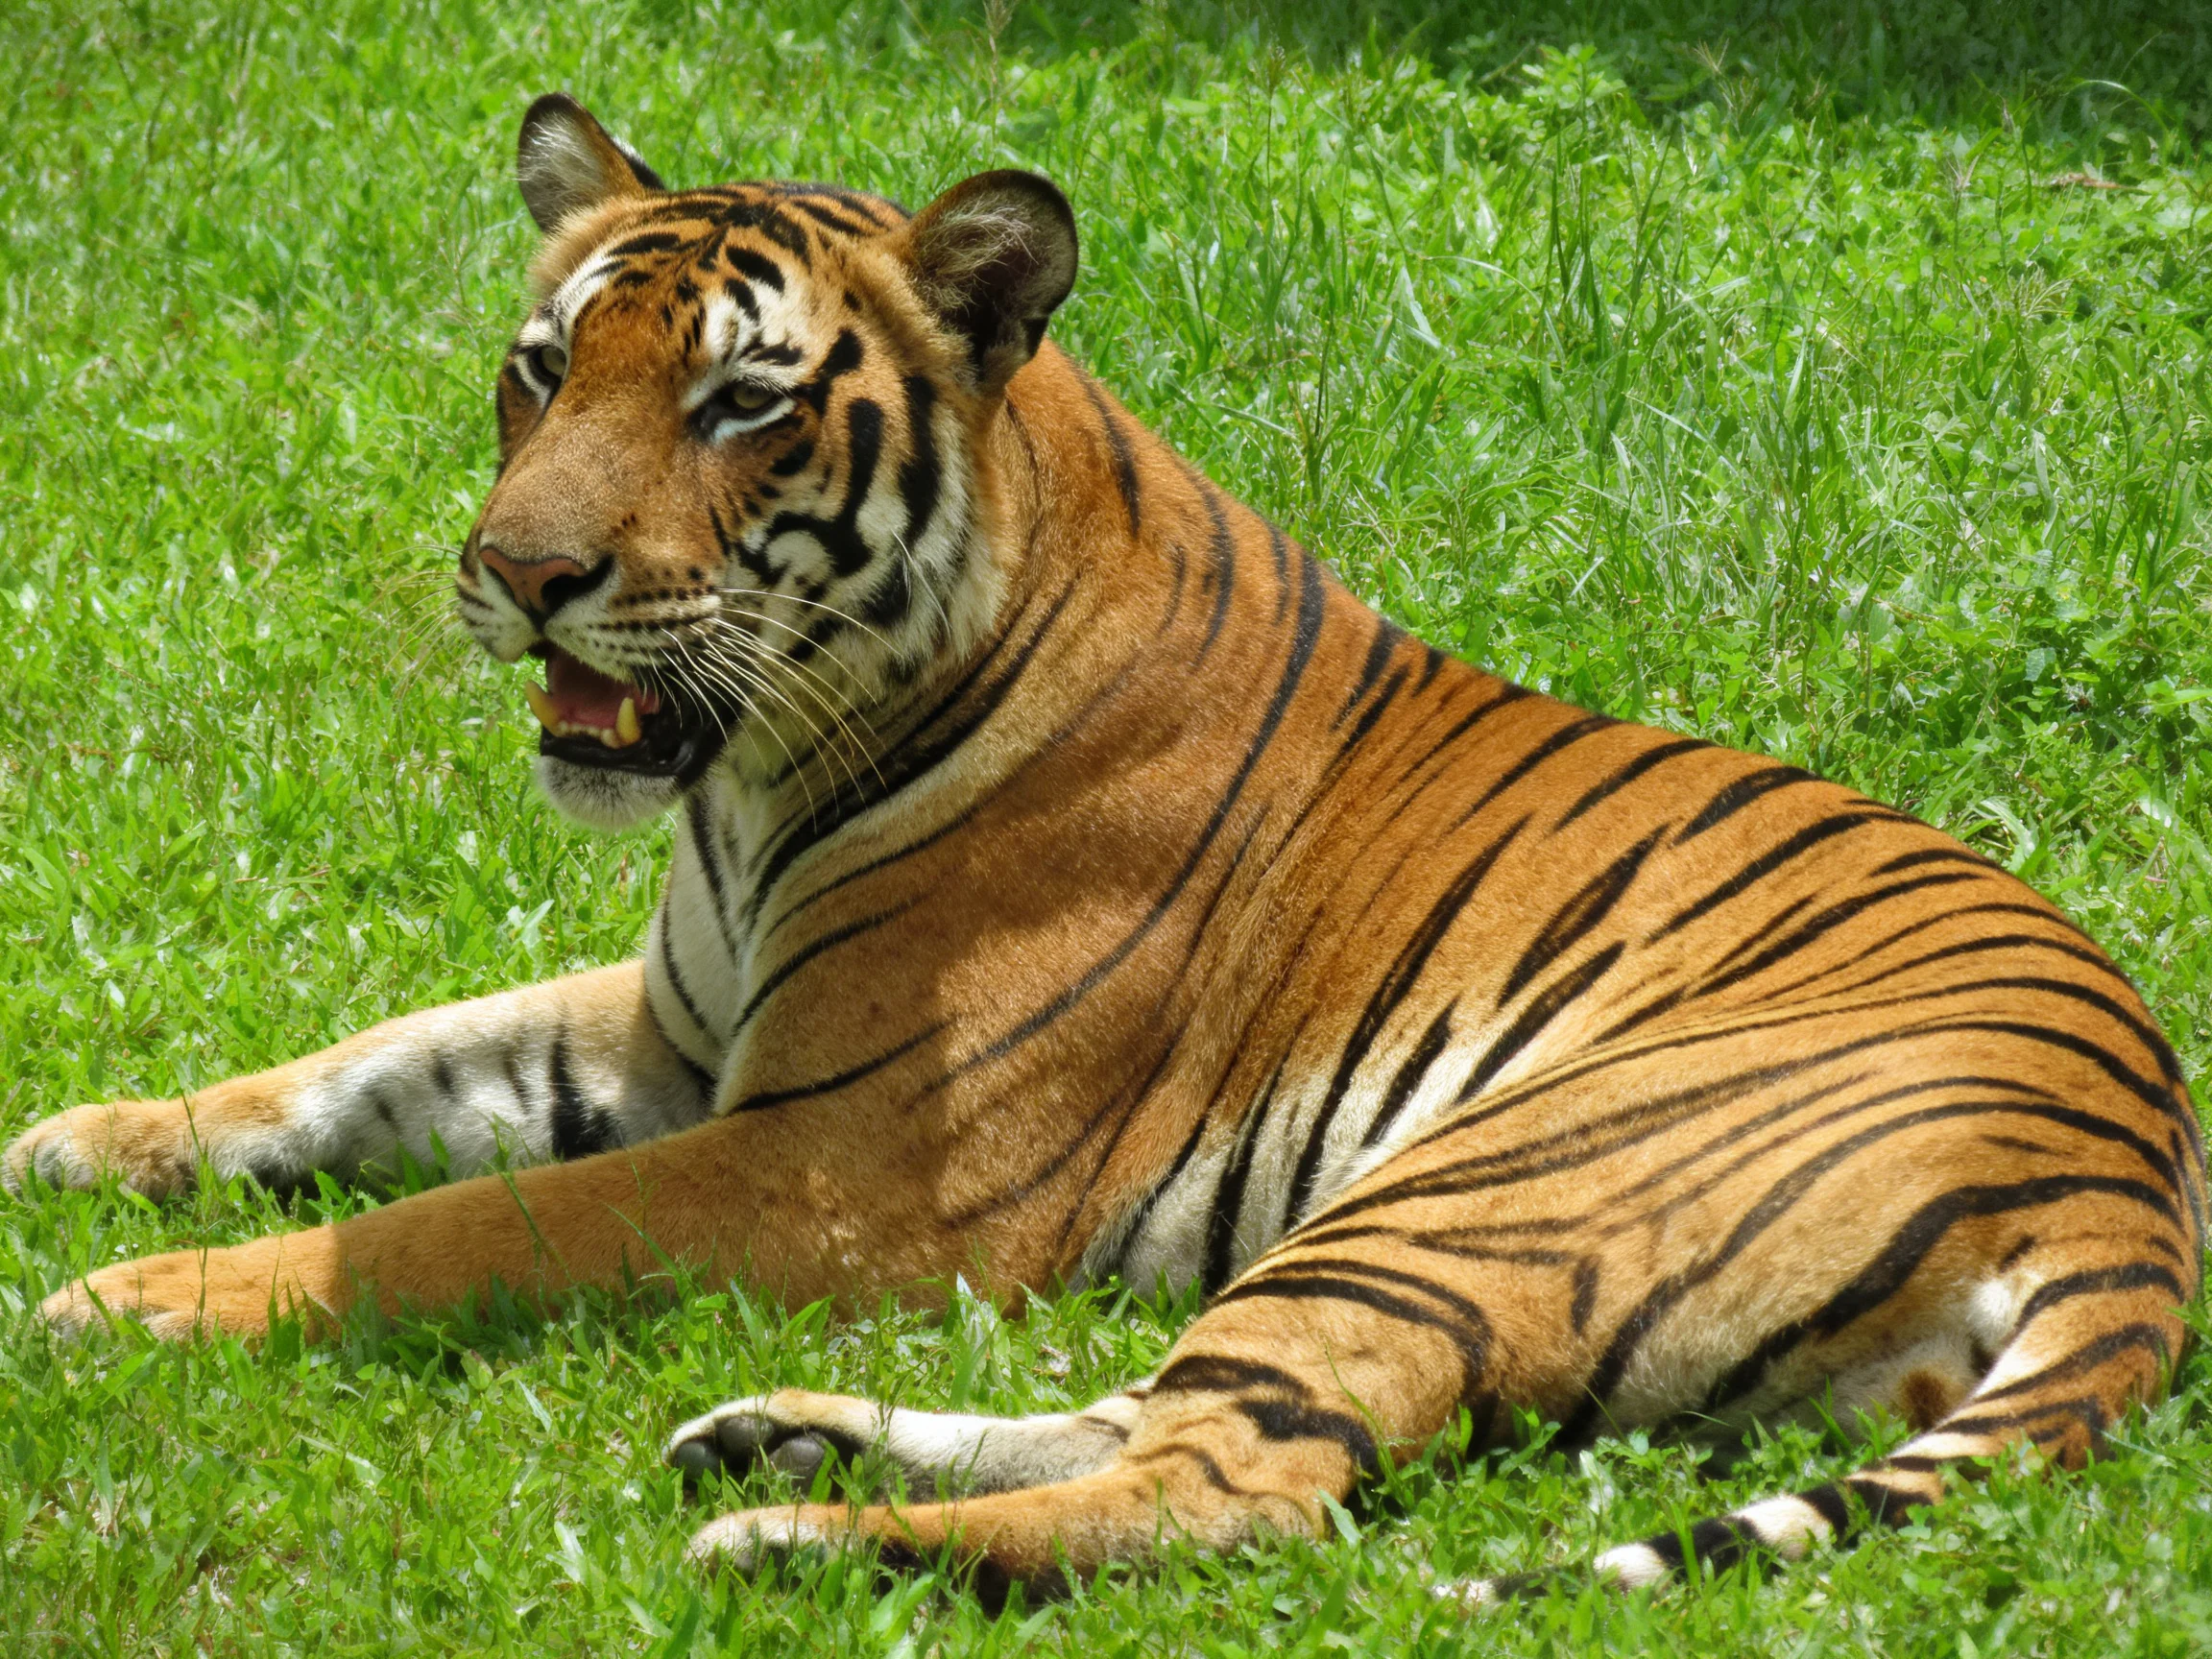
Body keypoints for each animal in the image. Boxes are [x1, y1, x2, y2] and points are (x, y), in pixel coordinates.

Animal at [7, 92, 2201, 1608]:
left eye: (737, 404)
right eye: (547, 368)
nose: (514, 575)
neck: (755, 776)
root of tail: (2130, 1181)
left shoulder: (837, 1160)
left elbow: (465, 1222)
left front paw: (134, 1303)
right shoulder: (670, 1028)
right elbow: (370, 1063)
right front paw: (79, 1143)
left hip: (1474, 1189)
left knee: (1248, 1488)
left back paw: (792, 1541)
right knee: (1167, 1411)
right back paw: (768, 1443)